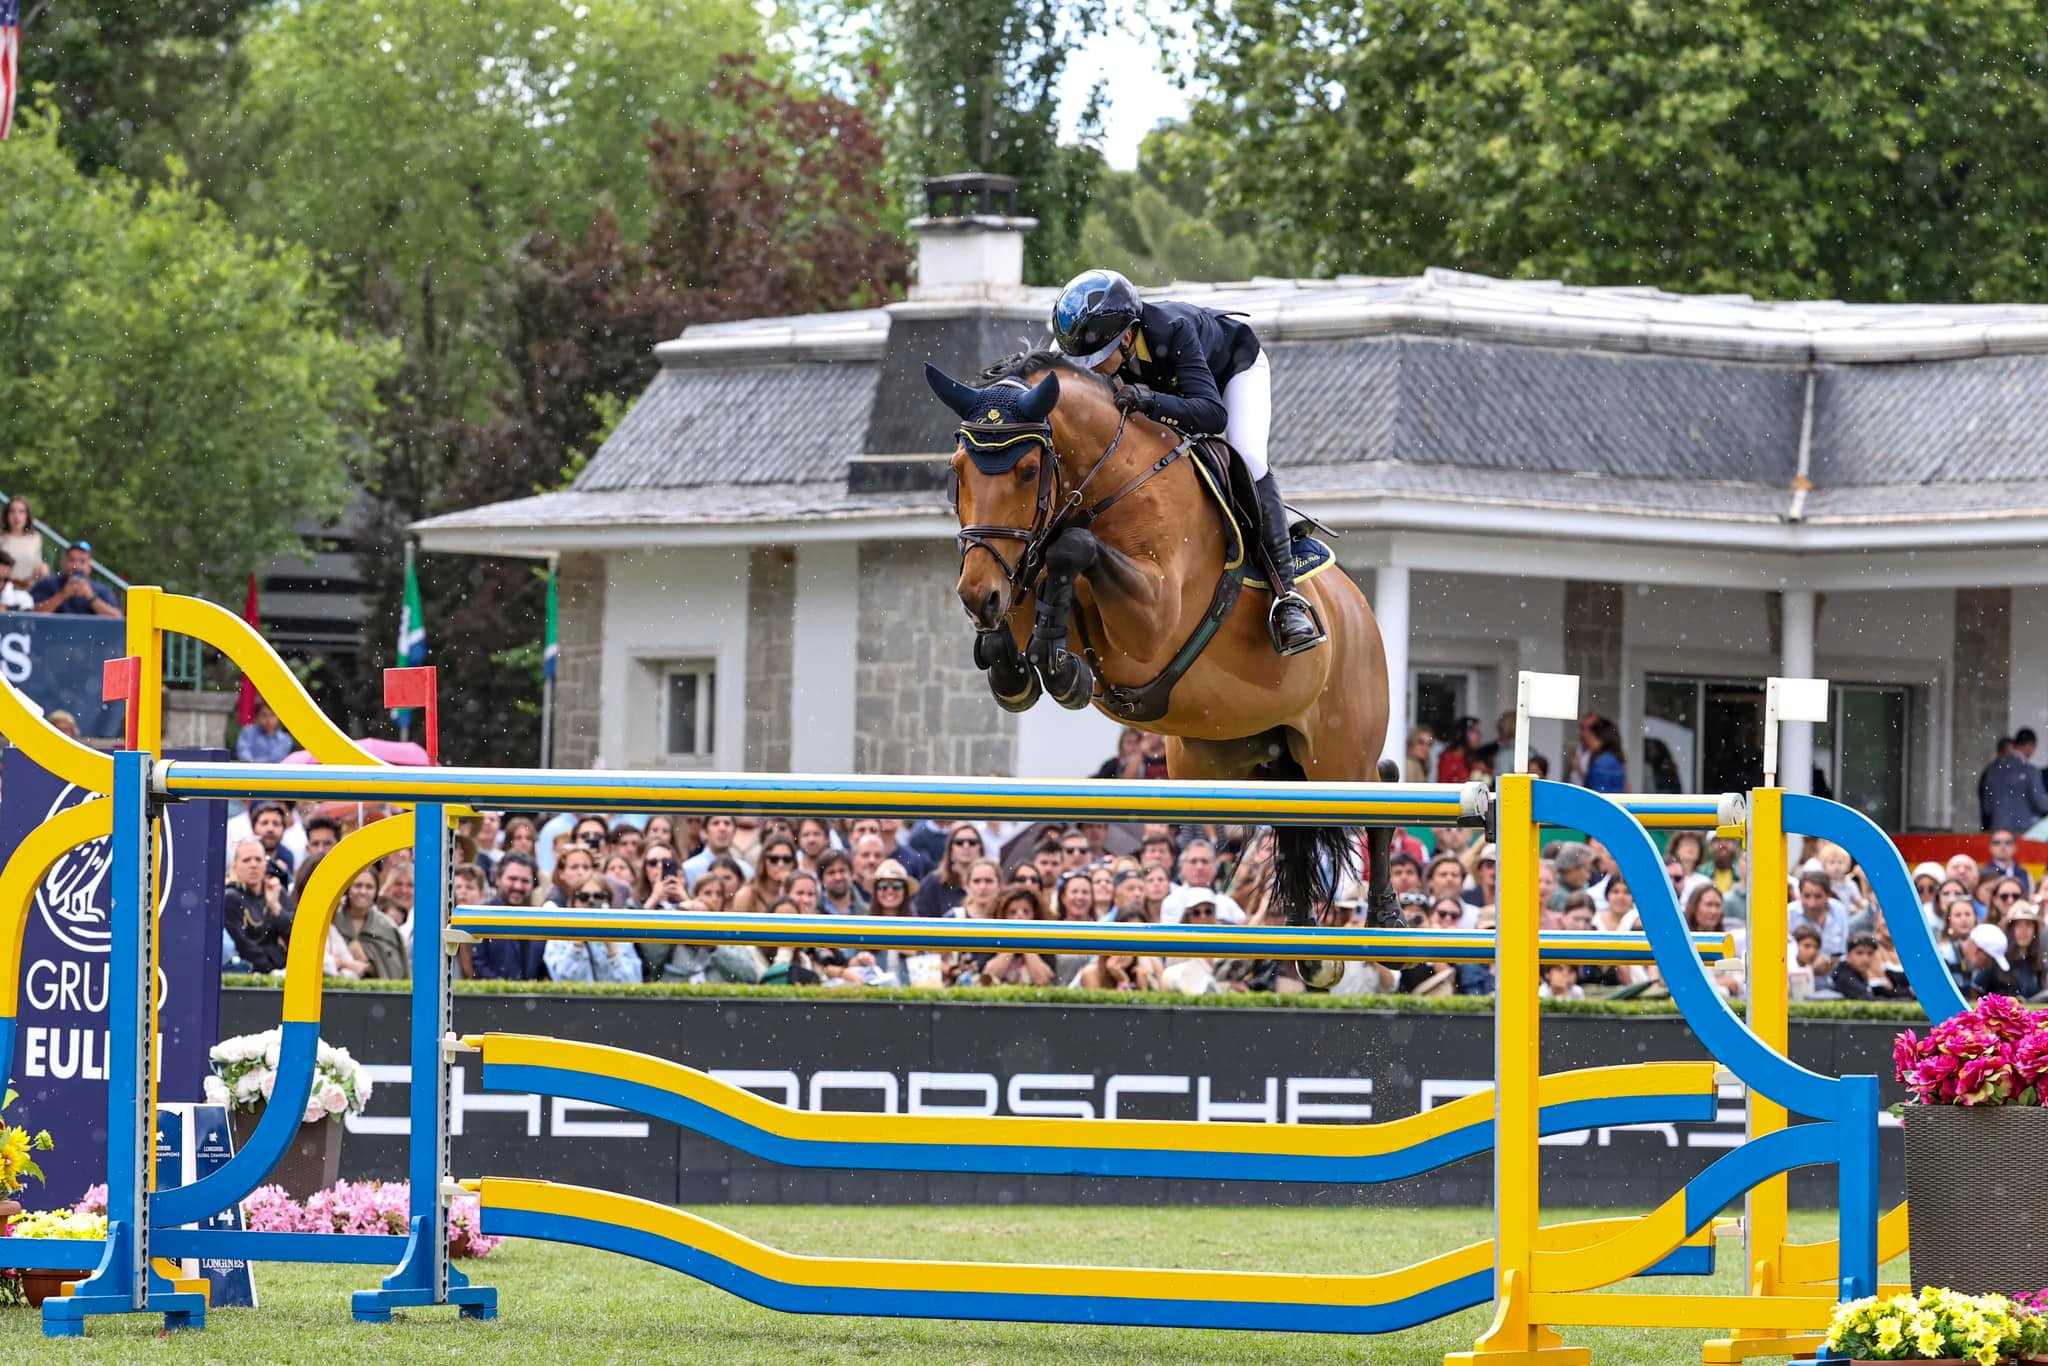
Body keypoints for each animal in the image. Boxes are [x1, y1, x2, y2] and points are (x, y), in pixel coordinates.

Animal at [925, 352, 1392, 983]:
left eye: (1025, 471)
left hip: (1339, 758)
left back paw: (1386, 920)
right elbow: (1034, 582)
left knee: (1382, 792)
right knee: (1293, 821)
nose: (977, 596)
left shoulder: (1151, 619)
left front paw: (1058, 663)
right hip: (1229, 763)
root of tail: (1360, 612)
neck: (1106, 485)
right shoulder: (1021, 570)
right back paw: (1303, 941)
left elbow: (1070, 550)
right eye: (957, 470)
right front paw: (1018, 666)